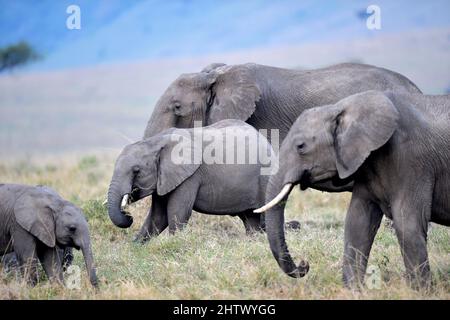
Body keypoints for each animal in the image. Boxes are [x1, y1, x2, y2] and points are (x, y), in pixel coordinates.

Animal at [107, 119, 280, 240]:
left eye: (136, 171)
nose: (129, 216)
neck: (155, 142)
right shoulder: (164, 178)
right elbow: (158, 217)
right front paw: (135, 248)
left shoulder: (189, 177)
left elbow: (177, 213)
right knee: (251, 220)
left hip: (265, 177)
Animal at [256, 90, 450, 290]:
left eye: (301, 146)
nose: (304, 264)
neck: (341, 107)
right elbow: (357, 223)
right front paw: (354, 290)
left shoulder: (411, 161)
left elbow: (408, 225)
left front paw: (420, 291)